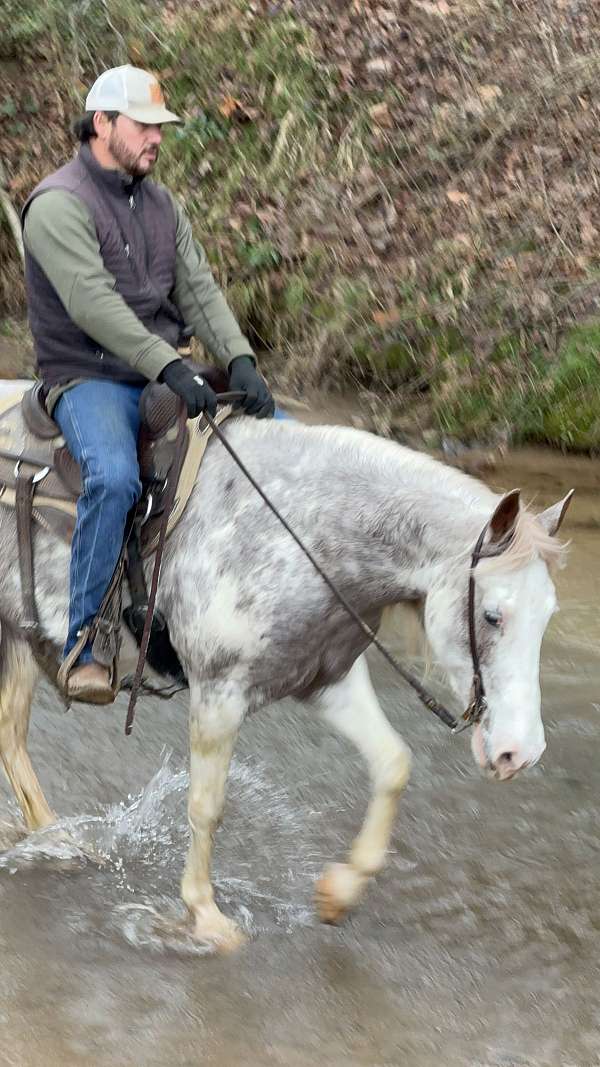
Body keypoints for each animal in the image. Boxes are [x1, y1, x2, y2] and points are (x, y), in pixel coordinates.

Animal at [0, 400, 572, 951]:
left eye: (548, 614)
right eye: (493, 616)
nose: (519, 754)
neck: (299, 534)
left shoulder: (327, 680)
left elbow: (393, 764)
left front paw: (338, 893)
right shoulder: (219, 692)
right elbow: (206, 806)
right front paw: (207, 919)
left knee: (12, 736)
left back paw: (59, 841)